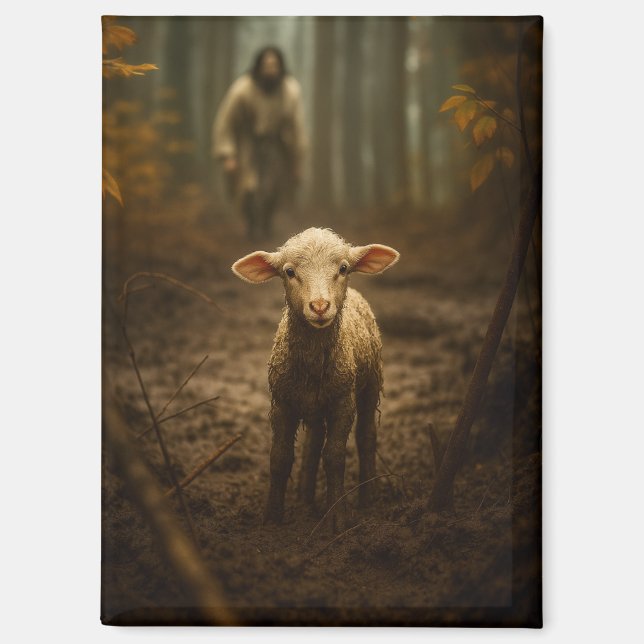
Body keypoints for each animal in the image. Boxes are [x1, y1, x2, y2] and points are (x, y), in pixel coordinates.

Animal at [232, 227, 399, 531]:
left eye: (343, 268)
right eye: (289, 272)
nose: (320, 306)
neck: (311, 364)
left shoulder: (343, 401)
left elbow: (334, 456)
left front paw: (338, 517)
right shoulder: (282, 402)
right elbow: (279, 457)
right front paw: (272, 517)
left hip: (371, 381)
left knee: (366, 435)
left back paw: (368, 496)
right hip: (313, 404)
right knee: (313, 440)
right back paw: (305, 497)